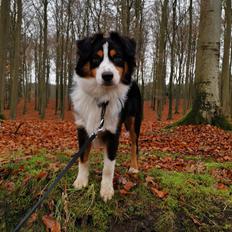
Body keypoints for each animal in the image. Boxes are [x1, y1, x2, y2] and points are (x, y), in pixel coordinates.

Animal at [71, 31, 142, 201]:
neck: (102, 98)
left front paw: (107, 189)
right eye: (96, 58)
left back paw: (134, 167)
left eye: (117, 58)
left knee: (134, 144)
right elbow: (83, 157)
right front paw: (81, 181)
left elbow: (109, 166)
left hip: (133, 121)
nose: (107, 76)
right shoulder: (82, 129)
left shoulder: (113, 132)